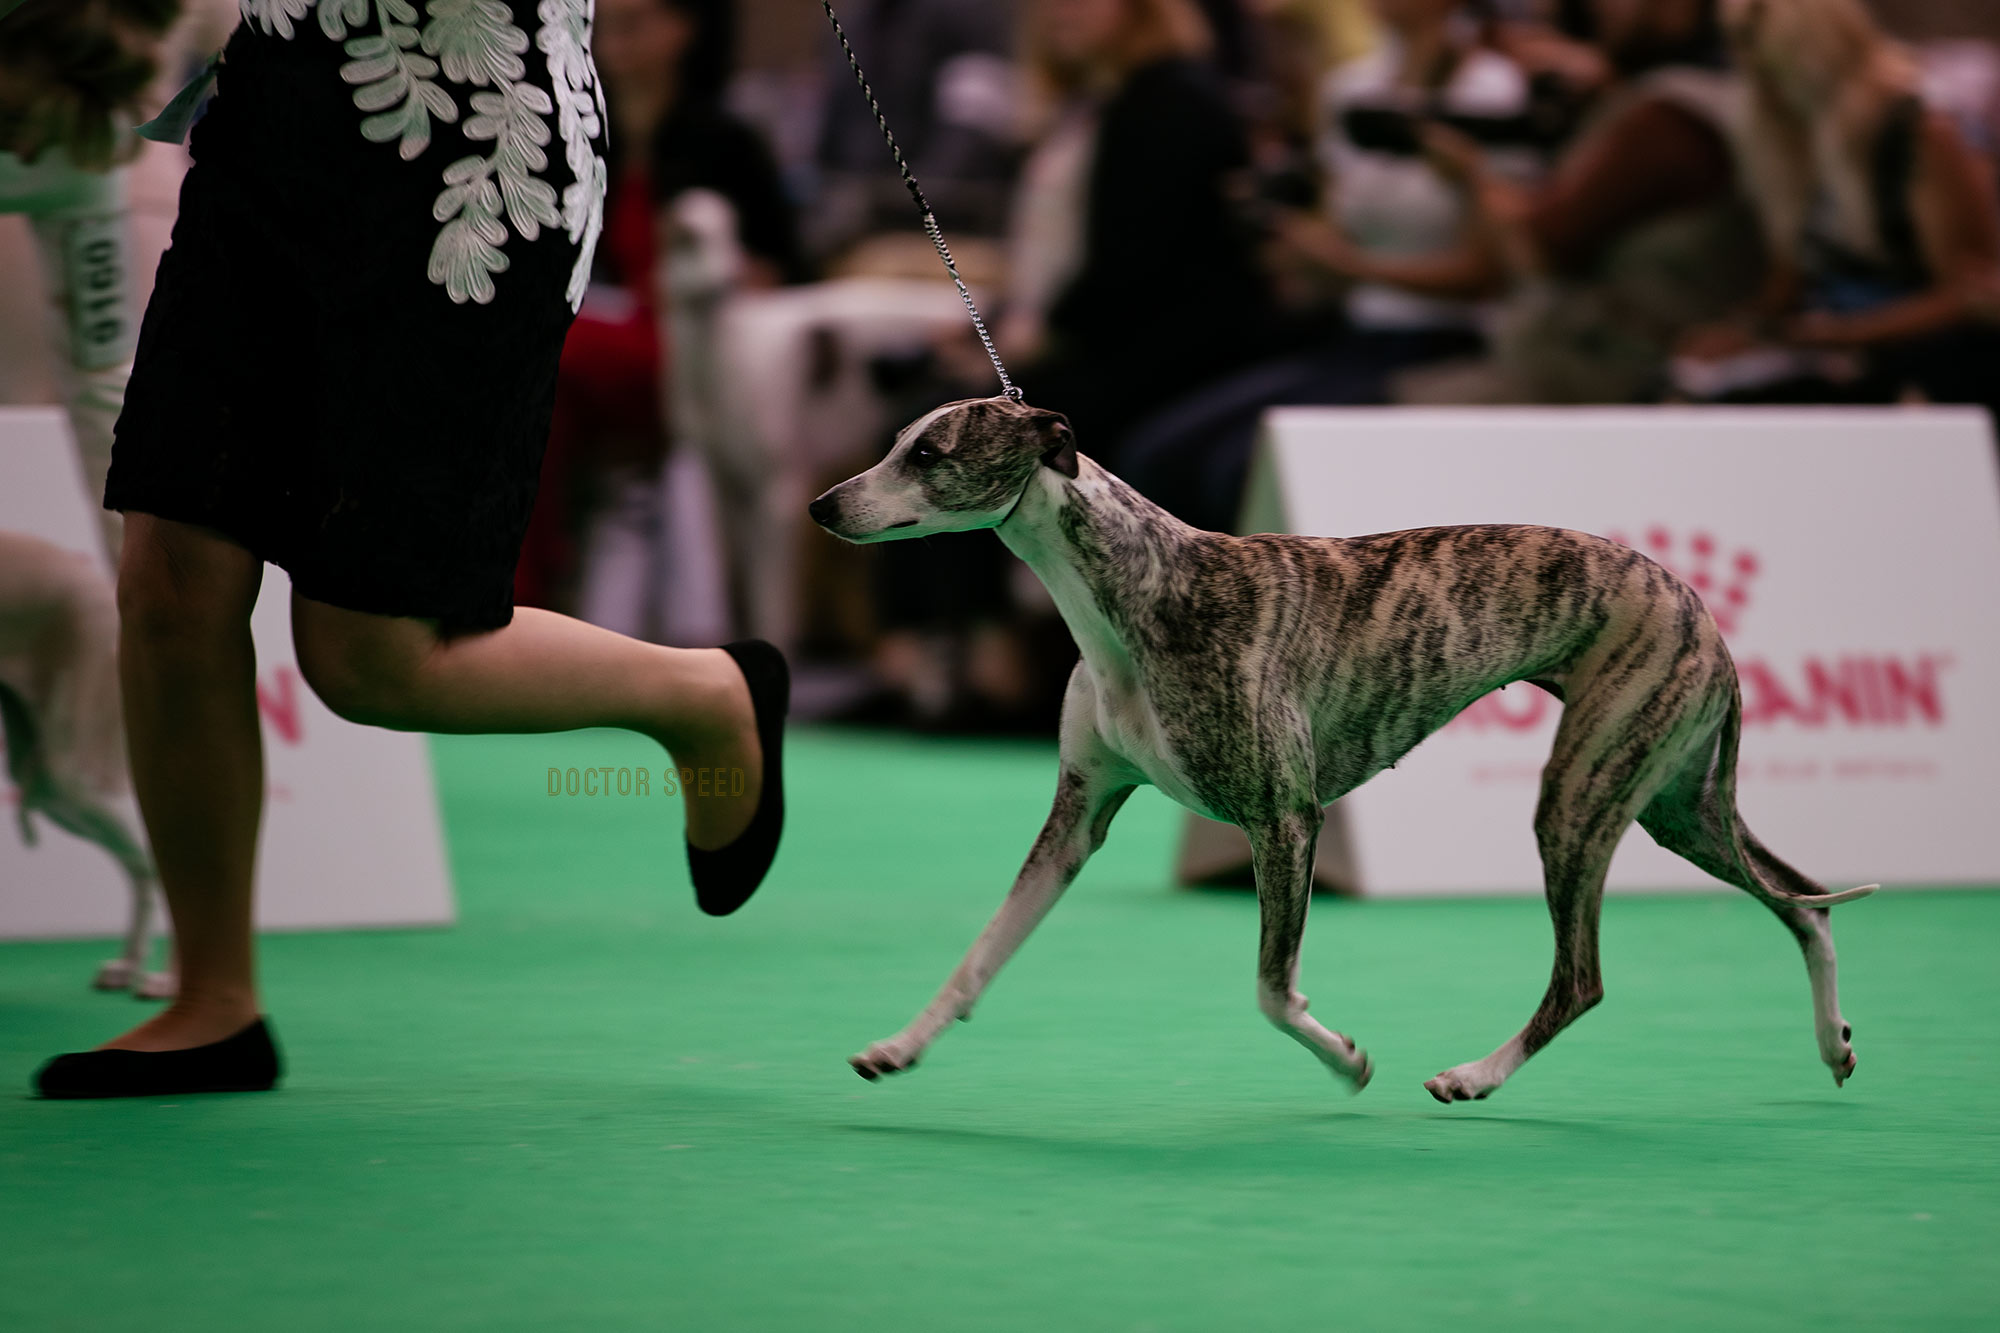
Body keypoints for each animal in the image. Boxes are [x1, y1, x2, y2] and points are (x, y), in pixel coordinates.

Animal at [809, 396, 1876, 1102]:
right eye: (896, 443)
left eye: (929, 452)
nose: (822, 506)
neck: (1144, 588)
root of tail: (1696, 603)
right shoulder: (1081, 808)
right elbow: (982, 952)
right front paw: (897, 1047)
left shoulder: (1286, 818)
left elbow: (1271, 989)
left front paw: (1348, 1059)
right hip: (1674, 802)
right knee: (1803, 901)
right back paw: (1834, 1043)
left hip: (1580, 799)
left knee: (1586, 977)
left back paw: (1475, 1074)